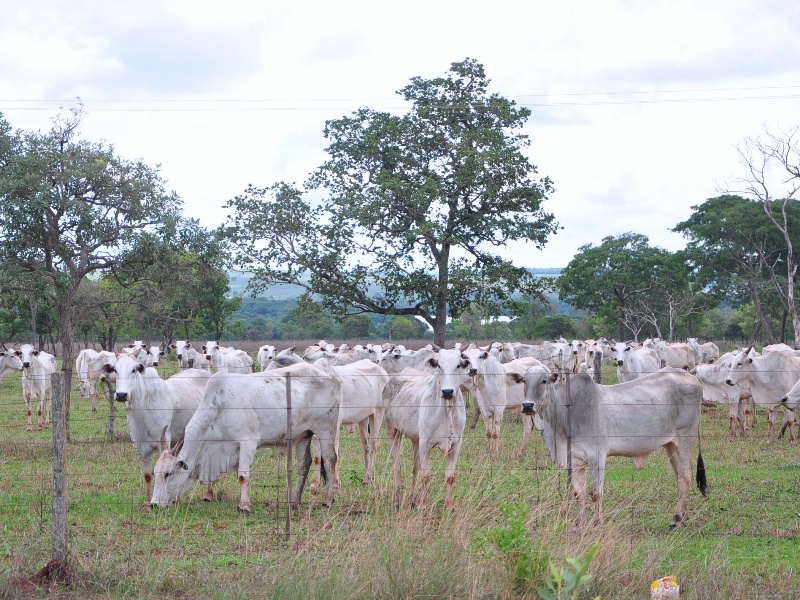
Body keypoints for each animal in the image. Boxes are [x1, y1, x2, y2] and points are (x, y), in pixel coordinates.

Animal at [99, 354, 212, 504]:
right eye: (115, 370)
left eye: (134, 370)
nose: (121, 395)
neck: (142, 408)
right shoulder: (140, 446)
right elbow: (148, 475)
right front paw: (147, 502)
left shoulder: (163, 442)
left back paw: (208, 494)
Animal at [148, 360, 342, 510]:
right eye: (155, 473)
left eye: (168, 474)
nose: (154, 504)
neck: (219, 406)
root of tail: (327, 373)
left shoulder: (248, 442)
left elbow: (242, 476)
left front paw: (244, 506)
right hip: (304, 435)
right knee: (304, 465)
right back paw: (294, 502)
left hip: (326, 430)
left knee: (330, 460)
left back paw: (327, 501)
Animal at [310, 356, 390, 488]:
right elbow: (317, 456)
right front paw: (314, 484)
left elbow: (334, 454)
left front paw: (335, 483)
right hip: (363, 418)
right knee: (365, 446)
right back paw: (368, 479)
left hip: (378, 413)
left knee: (373, 446)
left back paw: (367, 478)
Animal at [382, 346, 472, 510]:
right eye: (438, 365)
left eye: (458, 365)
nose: (447, 392)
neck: (447, 410)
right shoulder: (426, 443)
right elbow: (426, 475)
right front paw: (423, 506)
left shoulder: (456, 444)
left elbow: (450, 476)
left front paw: (449, 505)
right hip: (393, 431)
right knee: (397, 465)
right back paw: (398, 499)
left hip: (416, 439)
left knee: (415, 468)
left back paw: (412, 499)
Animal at [510, 366, 704, 528]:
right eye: (524, 380)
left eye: (544, 380)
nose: (527, 405)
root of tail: (690, 375)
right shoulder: (575, 460)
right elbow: (579, 493)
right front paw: (578, 525)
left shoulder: (597, 457)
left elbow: (596, 493)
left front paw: (597, 524)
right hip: (671, 444)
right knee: (679, 476)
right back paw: (683, 517)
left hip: (685, 438)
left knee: (685, 476)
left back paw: (676, 520)